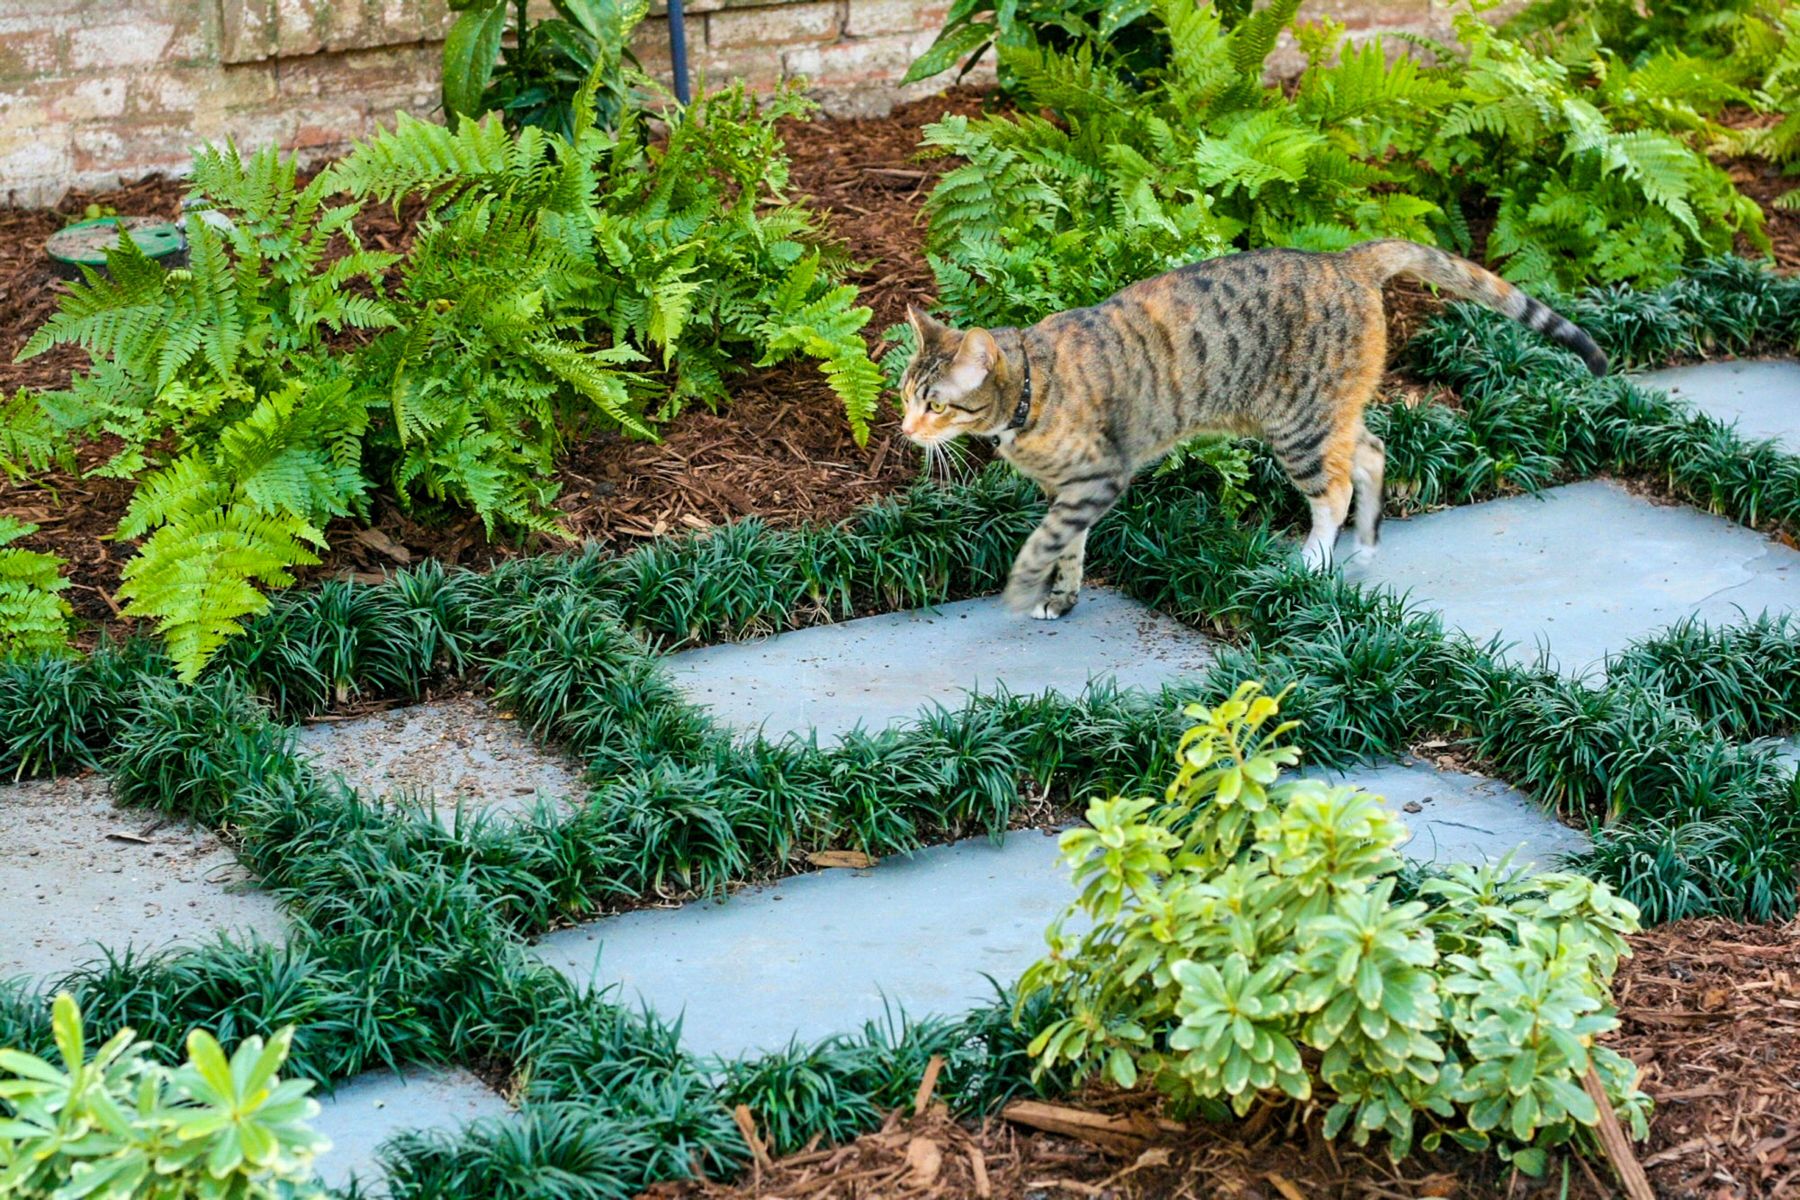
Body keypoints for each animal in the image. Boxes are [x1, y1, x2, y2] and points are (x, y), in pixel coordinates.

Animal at [900, 241, 1605, 626]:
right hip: (1332, 411)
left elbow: (1043, 543)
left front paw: (1023, 591)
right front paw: (1062, 598)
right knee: (1374, 453)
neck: (1031, 390)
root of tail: (1348, 260)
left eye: (936, 405)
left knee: (1334, 491)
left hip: (1299, 425)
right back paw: (1365, 547)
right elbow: (1068, 548)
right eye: (907, 396)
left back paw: (1313, 563)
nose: (906, 429)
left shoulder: (1097, 479)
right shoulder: (1068, 493)